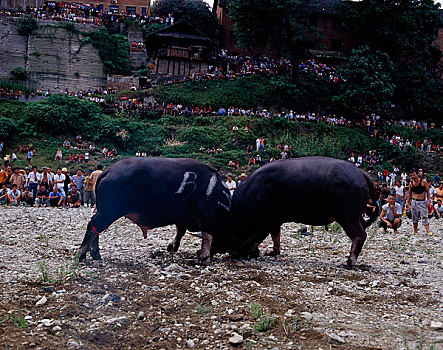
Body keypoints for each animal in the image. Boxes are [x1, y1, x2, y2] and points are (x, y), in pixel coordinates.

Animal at [78, 157, 232, 264]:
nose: (199, 253)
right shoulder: (208, 218)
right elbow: (207, 236)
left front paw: (171, 247)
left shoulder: (182, 219)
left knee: (96, 227)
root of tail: (108, 171)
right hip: (109, 211)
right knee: (94, 225)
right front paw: (205, 258)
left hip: (104, 211)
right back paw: (82, 256)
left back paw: (96, 255)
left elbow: (180, 232)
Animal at [213, 157, 380, 268]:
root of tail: (360, 173)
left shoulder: (266, 222)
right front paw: (272, 252)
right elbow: (276, 236)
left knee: (359, 236)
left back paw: (348, 263)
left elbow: (259, 237)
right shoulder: (275, 221)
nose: (233, 255)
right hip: (356, 216)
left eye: (226, 236)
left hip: (348, 217)